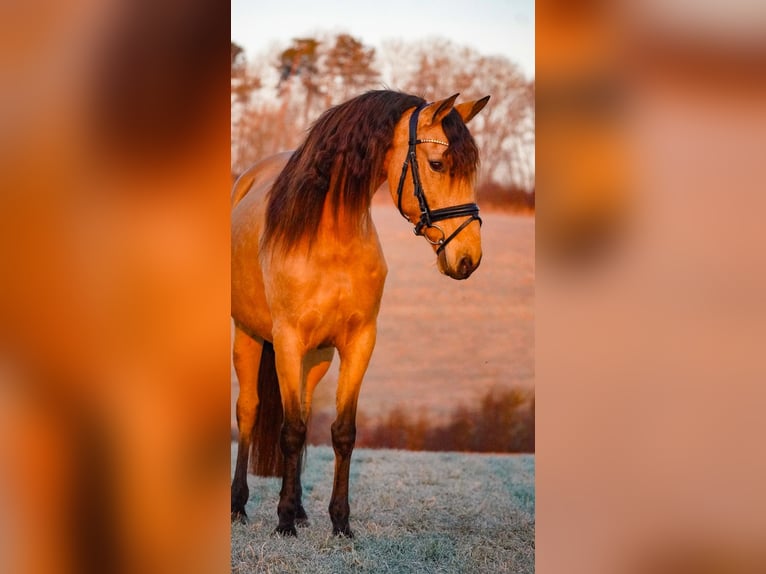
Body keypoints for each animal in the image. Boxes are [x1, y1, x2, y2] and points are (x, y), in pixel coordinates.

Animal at [231, 90, 488, 540]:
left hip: (316, 358)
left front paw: (339, 522)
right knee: (249, 410)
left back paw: (300, 509)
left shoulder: (358, 343)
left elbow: (341, 432)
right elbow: (291, 431)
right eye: (438, 164)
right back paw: (240, 505)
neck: (330, 238)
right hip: (247, 335)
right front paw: (283, 523)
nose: (467, 258)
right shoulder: (287, 340)